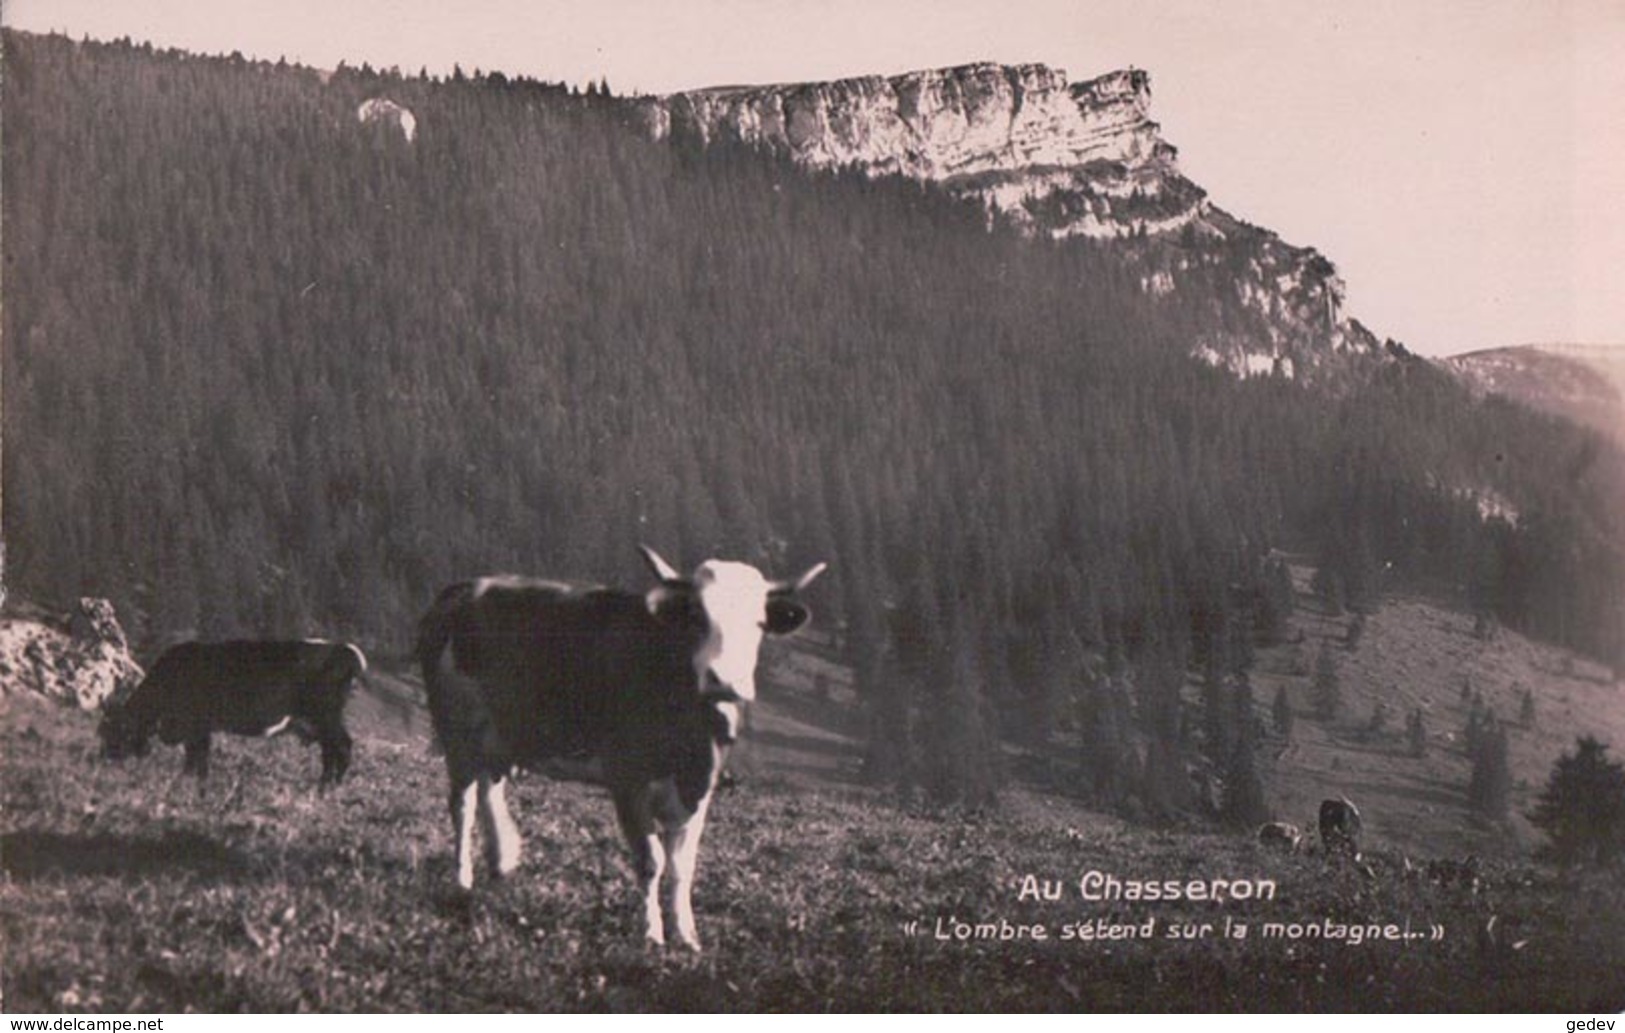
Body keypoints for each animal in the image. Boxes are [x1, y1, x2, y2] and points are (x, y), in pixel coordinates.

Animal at [98, 636, 365, 789]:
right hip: (321, 721)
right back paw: (326, 784)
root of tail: (345, 650)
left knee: (341, 746)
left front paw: (192, 780)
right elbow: (197, 755)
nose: (104, 759)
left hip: (326, 717)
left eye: (115, 732)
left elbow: (197, 756)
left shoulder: (197, 725)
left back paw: (329, 787)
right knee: (331, 751)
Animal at [419, 548, 825, 955]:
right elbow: (651, 861)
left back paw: (501, 861)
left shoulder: (700, 786)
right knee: (463, 803)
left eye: (759, 623)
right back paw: (463, 880)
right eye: (697, 615)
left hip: (501, 735)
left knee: (491, 788)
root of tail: (462, 588)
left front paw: (687, 936)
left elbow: (683, 868)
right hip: (457, 730)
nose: (724, 680)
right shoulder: (628, 778)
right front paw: (651, 933)